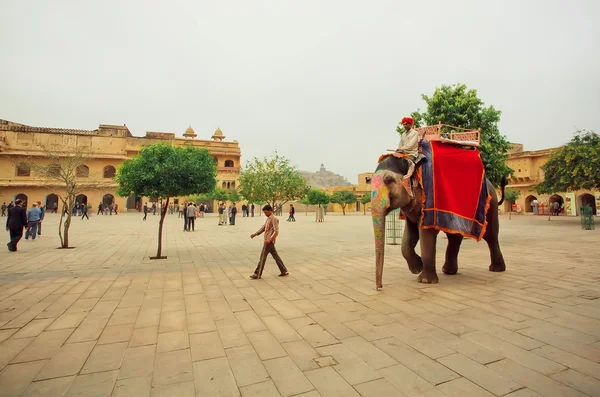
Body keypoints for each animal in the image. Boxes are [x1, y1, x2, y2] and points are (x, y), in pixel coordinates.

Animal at [370, 155, 506, 288]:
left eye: (389, 180)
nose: (379, 287)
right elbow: (409, 236)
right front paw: (417, 268)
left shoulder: (428, 201)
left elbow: (425, 234)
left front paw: (425, 281)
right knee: (454, 237)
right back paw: (448, 271)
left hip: (491, 205)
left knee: (491, 235)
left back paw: (497, 269)